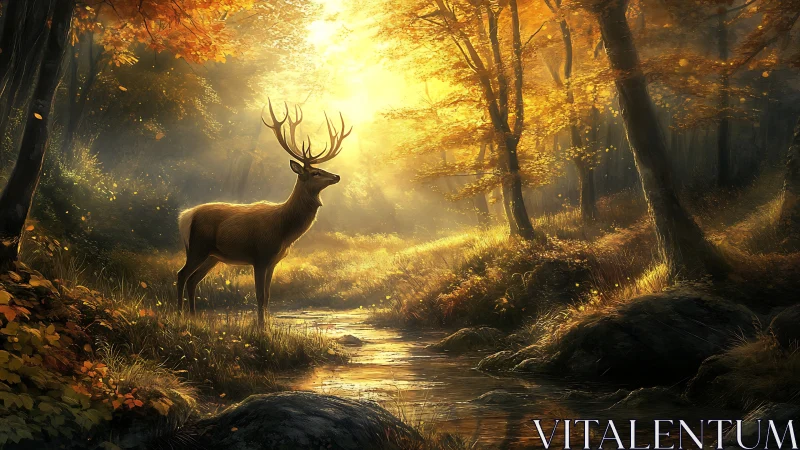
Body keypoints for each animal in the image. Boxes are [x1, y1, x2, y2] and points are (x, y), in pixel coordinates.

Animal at [176, 100, 352, 327]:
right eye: (315, 173)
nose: (337, 176)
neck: (284, 230)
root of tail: (185, 216)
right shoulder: (259, 256)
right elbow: (259, 295)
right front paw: (260, 327)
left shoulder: (274, 260)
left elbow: (268, 295)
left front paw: (266, 324)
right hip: (197, 247)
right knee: (181, 275)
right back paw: (179, 315)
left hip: (212, 256)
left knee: (193, 280)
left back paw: (193, 316)